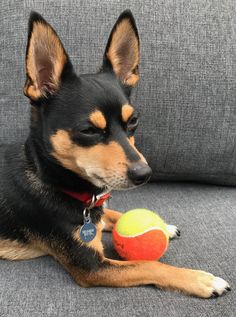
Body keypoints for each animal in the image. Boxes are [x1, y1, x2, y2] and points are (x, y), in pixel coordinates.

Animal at [0, 9, 230, 296]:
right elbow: (148, 264)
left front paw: (163, 225)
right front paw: (200, 279)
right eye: (88, 130)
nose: (144, 173)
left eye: (133, 121)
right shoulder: (91, 266)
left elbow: (112, 213)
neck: (49, 176)